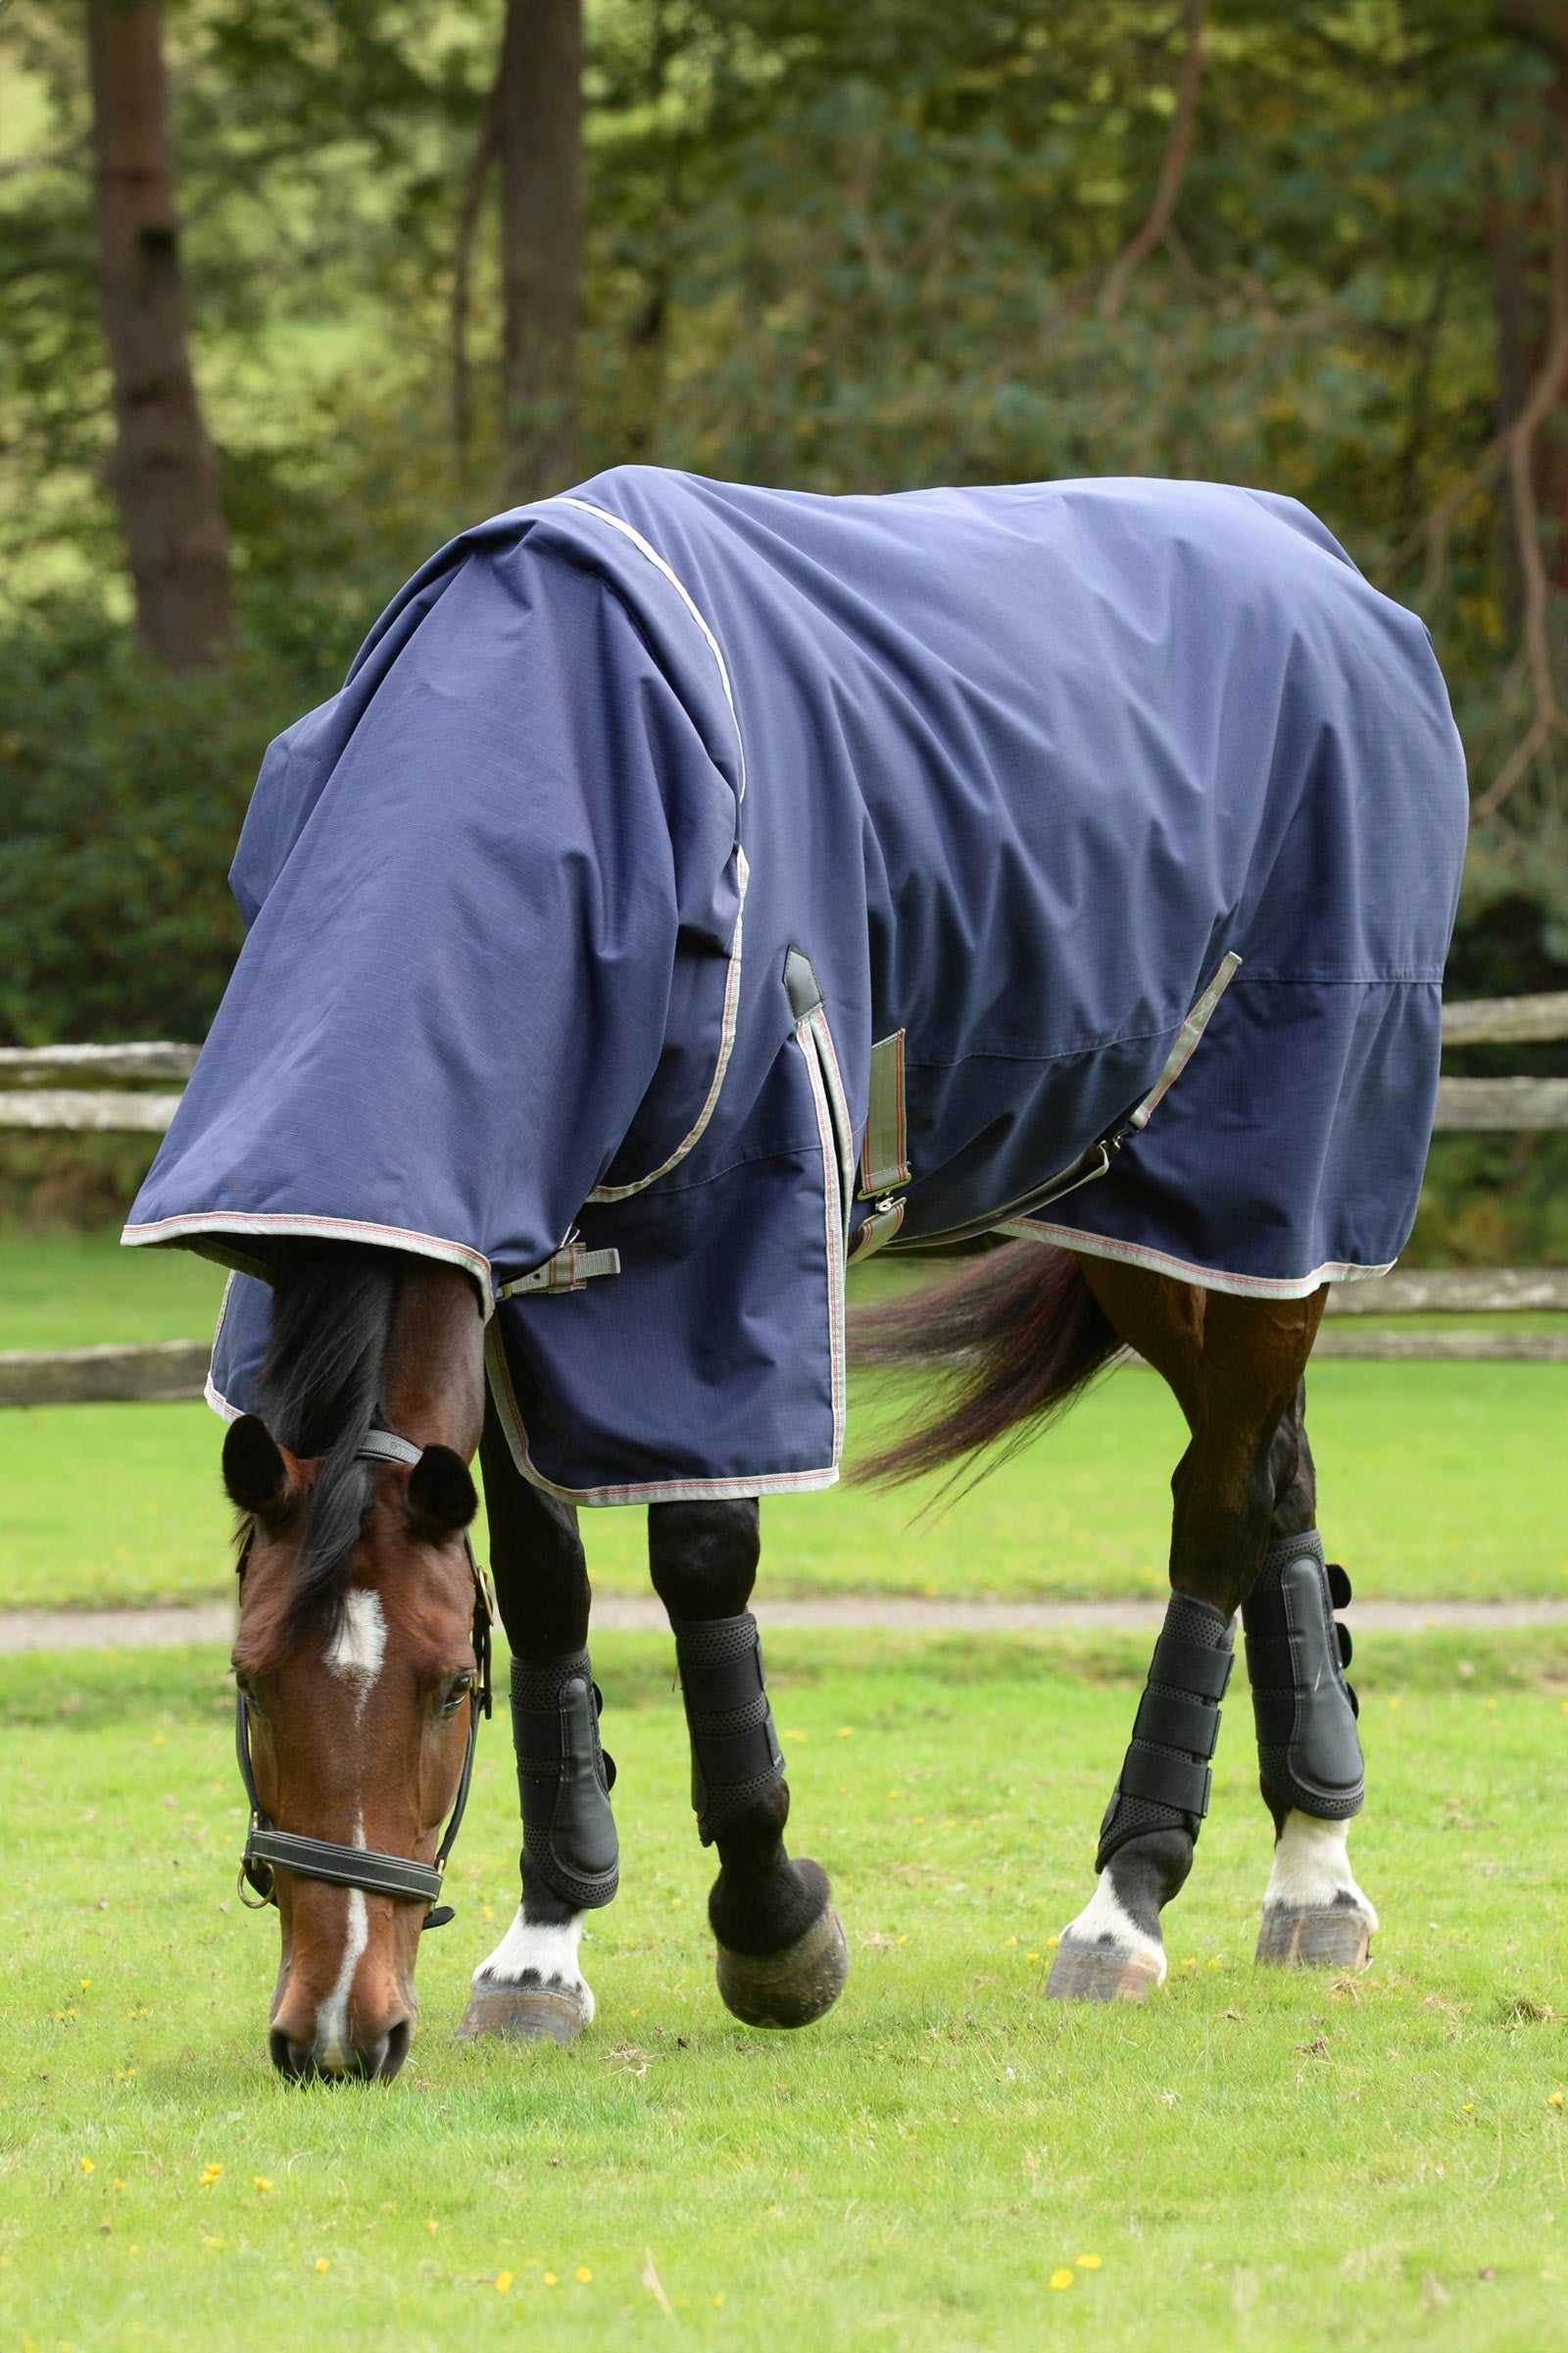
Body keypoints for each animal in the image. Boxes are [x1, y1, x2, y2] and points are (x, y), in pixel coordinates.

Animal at [127, 467, 1467, 2076]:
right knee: (1273, 1476)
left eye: (449, 1687)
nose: (336, 2031)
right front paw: (544, 1943)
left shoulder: (724, 1252)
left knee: (1217, 1512)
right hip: (1158, 1225)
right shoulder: (521, 1270)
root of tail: (1326, 564)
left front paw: (771, 1928)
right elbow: (551, 1588)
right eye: (247, 1679)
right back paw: (1312, 1875)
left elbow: (703, 1564)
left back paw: (1129, 1903)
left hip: (1267, 1172)